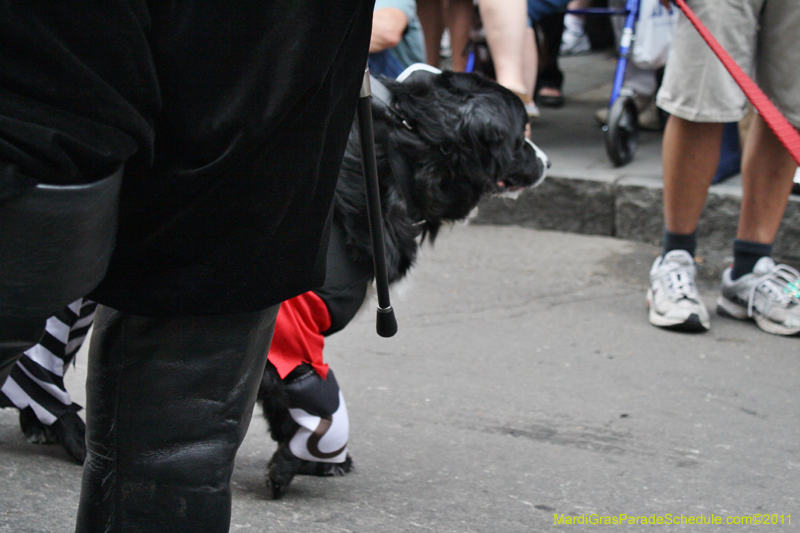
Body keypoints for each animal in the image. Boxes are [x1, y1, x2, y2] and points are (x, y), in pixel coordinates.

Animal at [260, 66, 548, 498]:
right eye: (522, 132)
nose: (547, 161)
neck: (405, 157)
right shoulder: (293, 323)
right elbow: (309, 398)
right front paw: (302, 459)